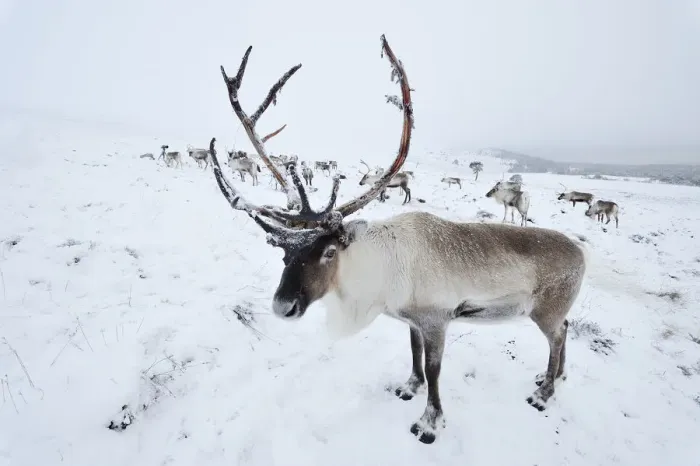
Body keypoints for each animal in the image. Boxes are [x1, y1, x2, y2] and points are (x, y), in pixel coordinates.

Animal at [205, 34, 586, 445]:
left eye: (328, 251)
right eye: (283, 254)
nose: (283, 306)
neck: (379, 268)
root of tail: (583, 255)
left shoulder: (437, 319)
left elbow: (435, 370)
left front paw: (429, 422)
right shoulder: (412, 319)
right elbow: (414, 353)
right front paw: (409, 386)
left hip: (545, 309)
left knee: (557, 337)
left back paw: (544, 393)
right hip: (551, 311)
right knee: (565, 330)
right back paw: (554, 376)